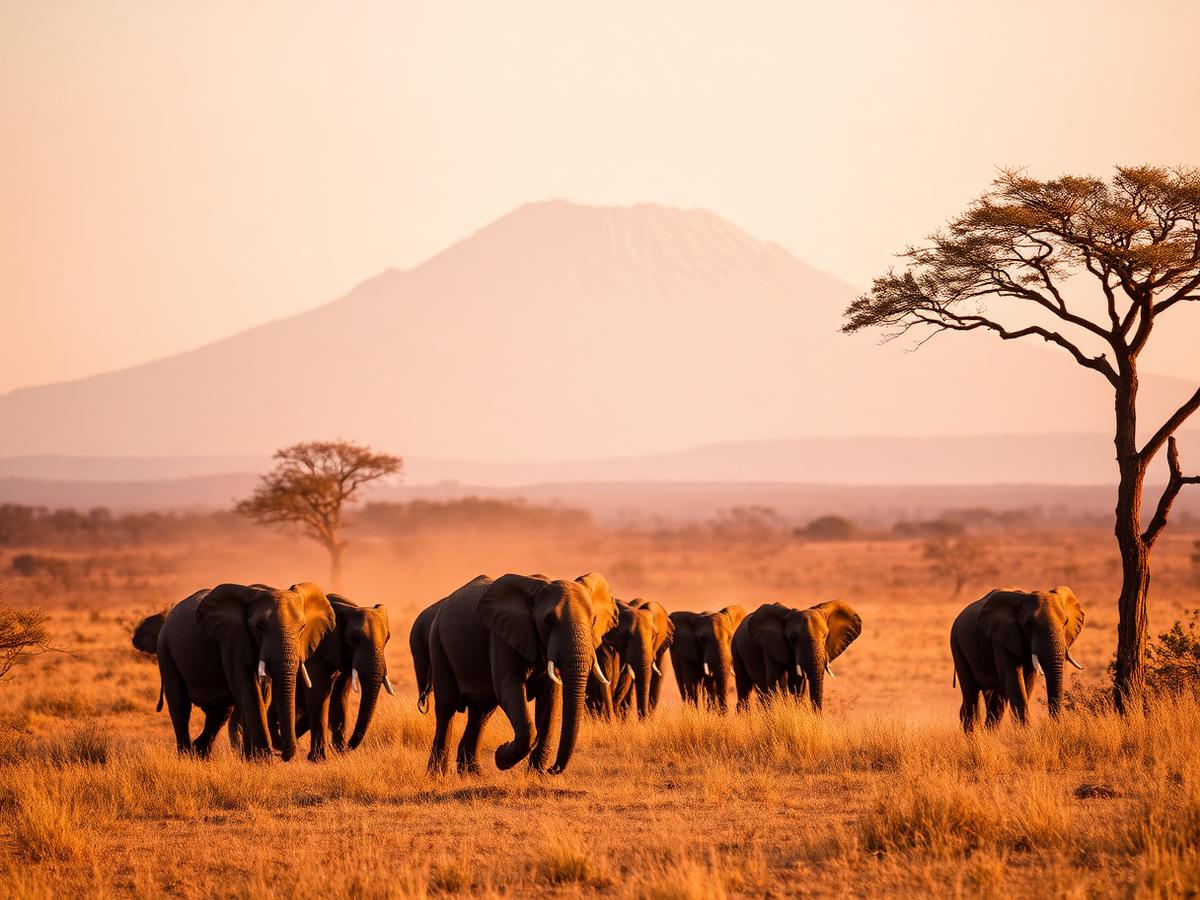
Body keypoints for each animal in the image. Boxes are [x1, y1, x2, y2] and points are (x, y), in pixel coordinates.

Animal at [155, 583, 335, 760]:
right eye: (259, 627)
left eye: (302, 627)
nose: (283, 755)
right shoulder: (231, 642)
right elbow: (249, 691)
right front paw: (263, 760)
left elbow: (263, 694)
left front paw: (251, 759)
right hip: (165, 649)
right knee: (180, 706)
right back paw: (185, 756)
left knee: (219, 714)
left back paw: (199, 754)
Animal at [288, 593, 394, 761]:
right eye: (352, 638)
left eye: (387, 638)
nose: (346, 748)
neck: (346, 608)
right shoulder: (315, 651)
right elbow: (318, 694)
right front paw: (318, 760)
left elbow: (340, 697)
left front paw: (339, 755)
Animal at [426, 572, 617, 775]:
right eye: (548, 621)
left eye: (593, 620)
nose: (553, 769)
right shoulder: (500, 635)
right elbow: (510, 688)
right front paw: (501, 756)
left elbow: (550, 700)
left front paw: (537, 775)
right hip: (437, 642)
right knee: (447, 707)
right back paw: (438, 775)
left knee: (481, 712)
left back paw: (472, 775)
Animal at [731, 600, 862, 710]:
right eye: (793, 637)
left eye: (825, 636)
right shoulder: (771, 648)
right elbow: (779, 684)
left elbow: (798, 687)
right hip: (736, 648)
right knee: (744, 689)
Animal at [950, 586, 1085, 732]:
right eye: (1029, 624)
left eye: (1065, 622)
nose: (1055, 726)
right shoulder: (1001, 637)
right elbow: (1014, 677)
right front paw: (1026, 732)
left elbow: (1028, 680)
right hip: (957, 645)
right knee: (971, 693)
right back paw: (974, 734)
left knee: (996, 697)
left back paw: (988, 732)